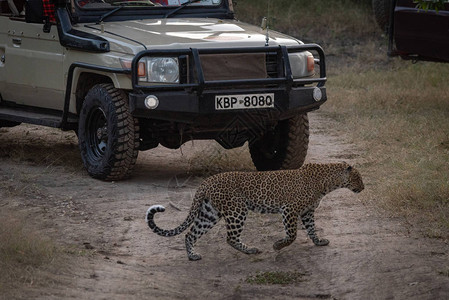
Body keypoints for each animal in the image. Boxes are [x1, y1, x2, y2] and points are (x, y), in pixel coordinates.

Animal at [145, 162, 362, 260]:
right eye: (358, 178)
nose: (364, 187)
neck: (328, 182)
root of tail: (207, 181)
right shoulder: (289, 209)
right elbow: (292, 234)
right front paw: (277, 246)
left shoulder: (307, 212)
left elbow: (312, 229)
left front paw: (319, 242)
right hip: (237, 210)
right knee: (230, 238)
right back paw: (251, 250)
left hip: (209, 212)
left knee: (190, 234)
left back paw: (192, 256)